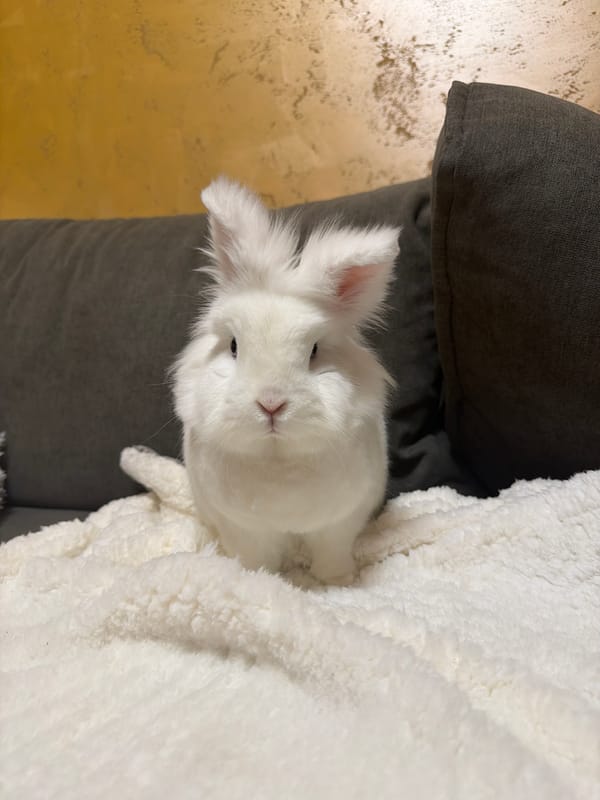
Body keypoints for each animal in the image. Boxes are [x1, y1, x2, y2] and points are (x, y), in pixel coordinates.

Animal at [173, 177, 400, 583]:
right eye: (234, 345)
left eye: (314, 351)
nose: (271, 403)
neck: (276, 458)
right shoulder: (245, 530)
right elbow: (257, 559)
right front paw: (261, 580)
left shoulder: (338, 526)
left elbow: (332, 555)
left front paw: (338, 582)